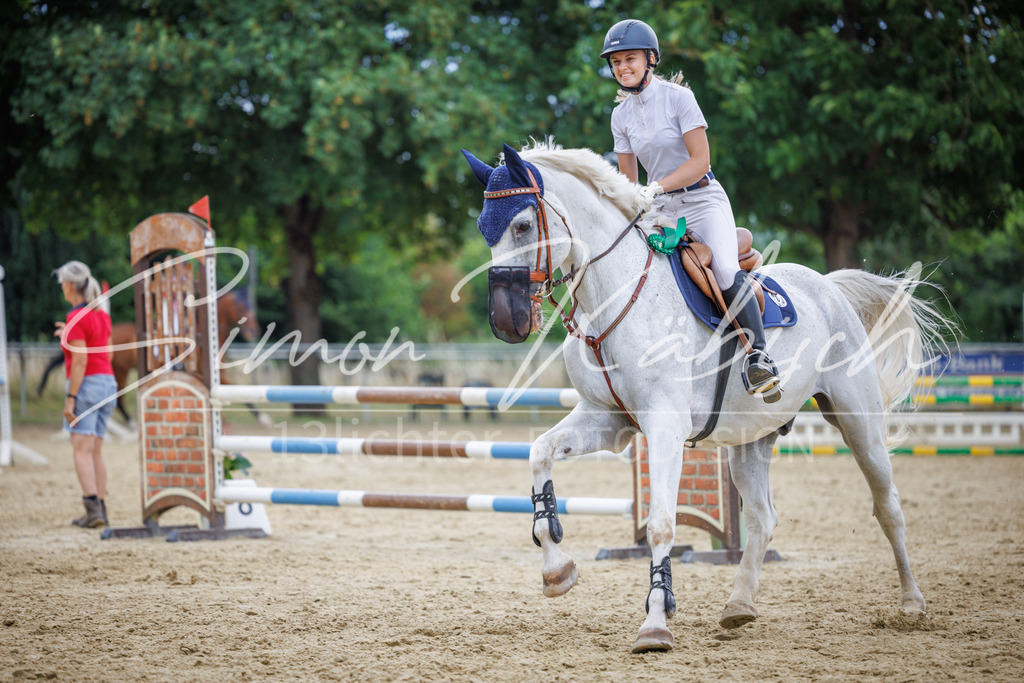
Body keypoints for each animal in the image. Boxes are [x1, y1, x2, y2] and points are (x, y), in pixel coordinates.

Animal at [39, 291, 265, 425]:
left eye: (252, 308)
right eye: (240, 308)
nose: (255, 331)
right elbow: (238, 391)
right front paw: (262, 417)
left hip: (121, 370)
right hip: (120, 369)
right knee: (119, 398)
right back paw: (131, 423)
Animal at [461, 141, 955, 653]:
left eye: (521, 225)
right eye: (483, 229)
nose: (507, 322)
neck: (614, 295)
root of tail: (828, 284)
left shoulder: (664, 427)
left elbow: (660, 523)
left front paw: (655, 624)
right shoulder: (607, 419)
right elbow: (539, 454)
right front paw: (556, 569)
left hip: (858, 423)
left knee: (888, 506)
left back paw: (912, 604)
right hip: (750, 438)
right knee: (762, 518)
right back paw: (739, 605)